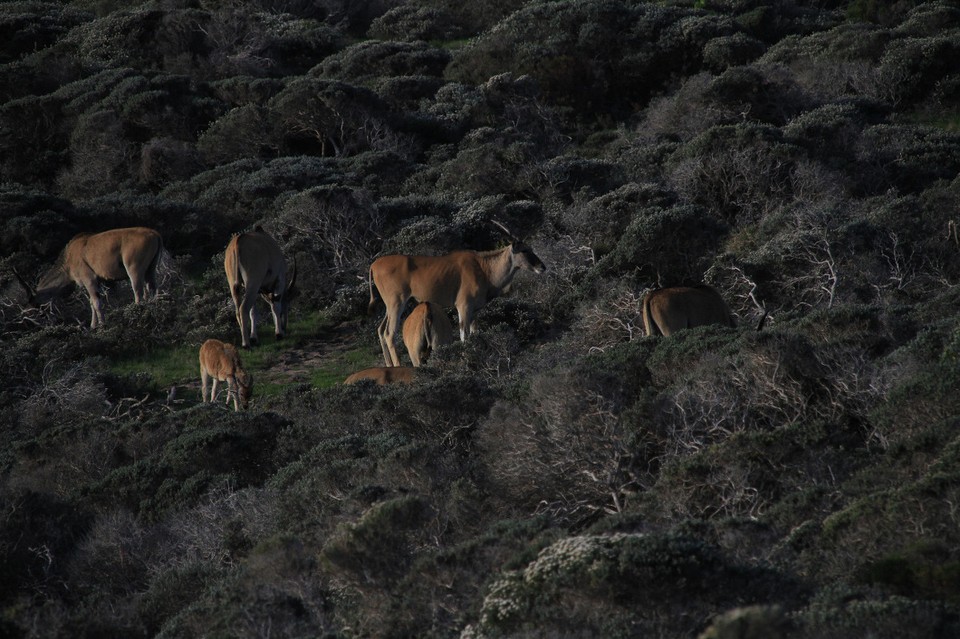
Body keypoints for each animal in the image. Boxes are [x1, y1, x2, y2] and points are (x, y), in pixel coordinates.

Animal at [15, 226, 162, 330]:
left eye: (33, 309)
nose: (27, 324)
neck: (68, 261)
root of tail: (154, 233)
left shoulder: (89, 280)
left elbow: (96, 303)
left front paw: (102, 325)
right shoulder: (95, 282)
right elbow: (92, 303)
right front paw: (93, 325)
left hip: (134, 270)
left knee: (138, 292)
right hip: (150, 270)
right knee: (153, 288)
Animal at [370, 222, 548, 368]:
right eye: (524, 250)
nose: (542, 267)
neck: (483, 267)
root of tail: (374, 265)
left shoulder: (475, 311)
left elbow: (475, 333)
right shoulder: (463, 306)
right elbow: (464, 335)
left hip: (390, 306)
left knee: (380, 329)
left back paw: (389, 365)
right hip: (397, 303)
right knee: (389, 333)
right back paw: (398, 366)